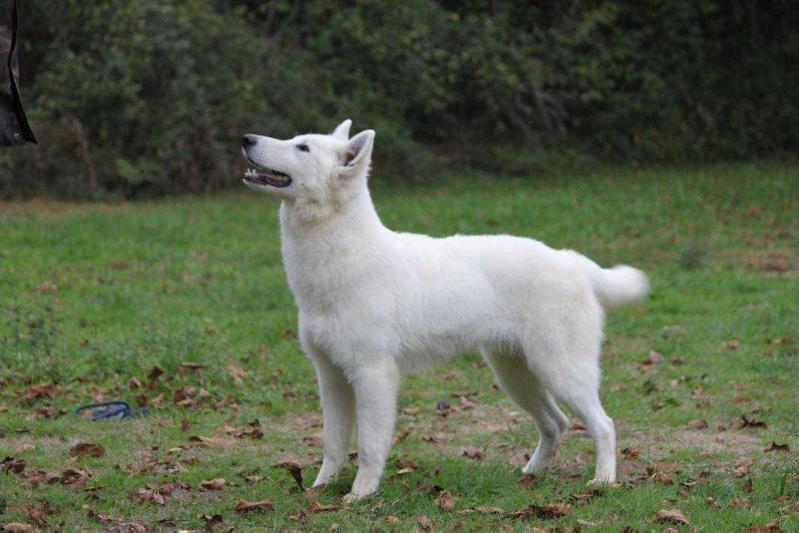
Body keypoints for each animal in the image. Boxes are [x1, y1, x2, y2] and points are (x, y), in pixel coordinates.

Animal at [239, 118, 648, 500]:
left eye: (303, 148)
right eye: (295, 140)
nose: (246, 138)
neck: (342, 256)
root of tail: (571, 261)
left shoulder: (372, 376)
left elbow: (369, 446)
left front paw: (361, 494)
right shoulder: (331, 377)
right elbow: (333, 444)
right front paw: (321, 489)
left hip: (561, 371)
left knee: (603, 425)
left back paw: (603, 481)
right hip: (516, 375)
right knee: (557, 424)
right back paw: (530, 474)